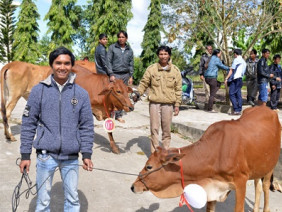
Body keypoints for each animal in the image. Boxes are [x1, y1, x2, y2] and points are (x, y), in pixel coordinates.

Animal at [131, 107, 280, 212]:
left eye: (149, 166)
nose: (133, 186)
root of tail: (270, 110)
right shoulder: (212, 189)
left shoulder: (241, 183)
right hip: (259, 167)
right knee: (258, 186)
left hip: (270, 166)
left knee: (265, 186)